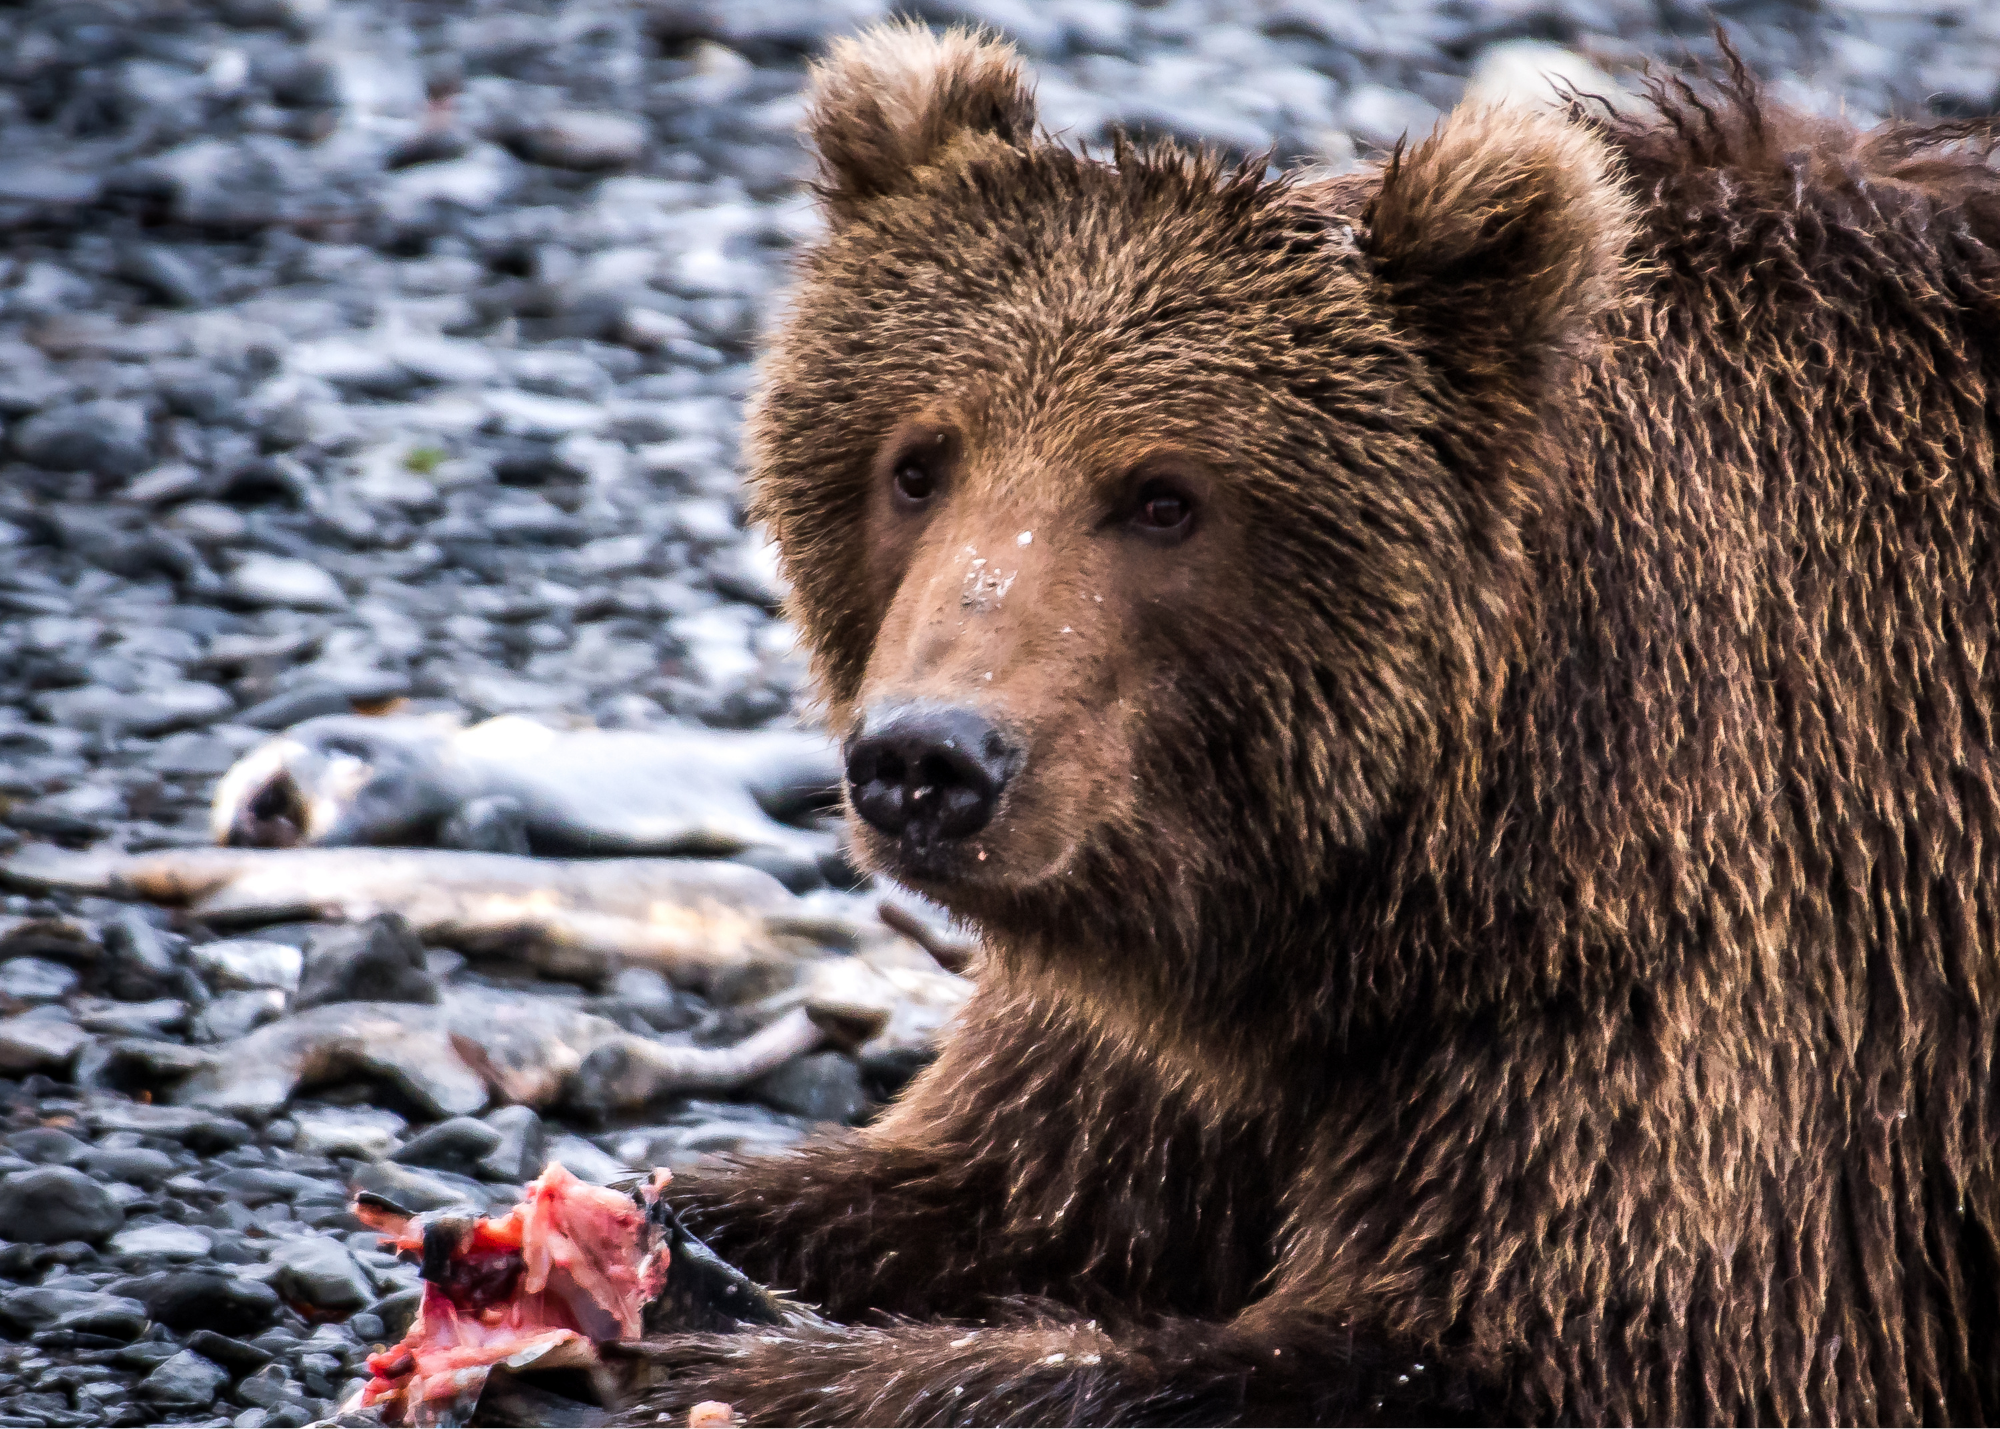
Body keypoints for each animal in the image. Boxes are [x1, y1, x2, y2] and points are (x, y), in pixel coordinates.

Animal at [613, 24, 2000, 1427]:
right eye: (916, 462)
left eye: (1163, 496)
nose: (929, 759)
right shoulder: (1162, 998)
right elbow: (996, 1179)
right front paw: (652, 1234)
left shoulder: (1728, 949)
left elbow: (1533, 1353)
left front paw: (772, 1364)